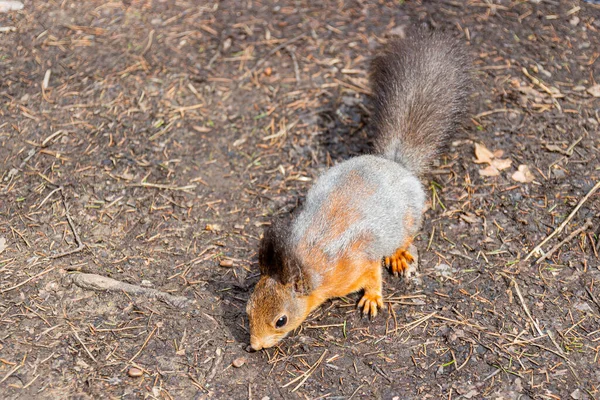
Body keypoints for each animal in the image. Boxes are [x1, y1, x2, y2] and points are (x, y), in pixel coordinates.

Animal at [246, 28, 472, 350]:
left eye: (281, 320)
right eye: (248, 309)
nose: (254, 345)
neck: (311, 267)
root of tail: (393, 164)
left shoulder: (357, 263)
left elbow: (373, 275)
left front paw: (373, 297)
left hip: (408, 220)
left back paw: (398, 255)